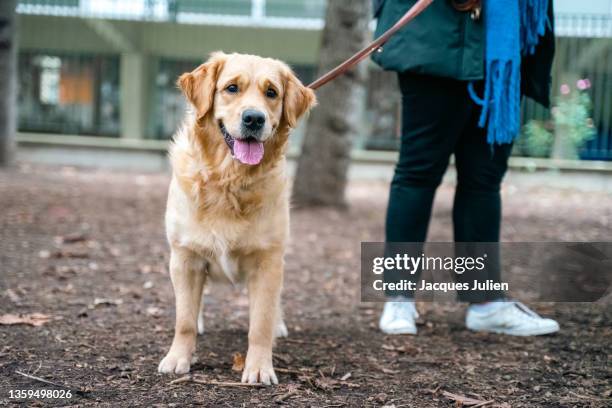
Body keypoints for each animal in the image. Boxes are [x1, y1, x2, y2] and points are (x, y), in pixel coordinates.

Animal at [155, 51, 318, 386]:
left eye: (272, 93)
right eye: (231, 88)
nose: (254, 118)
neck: (229, 180)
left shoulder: (268, 262)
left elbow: (261, 324)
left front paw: (259, 367)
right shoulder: (185, 257)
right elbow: (184, 320)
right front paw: (178, 358)